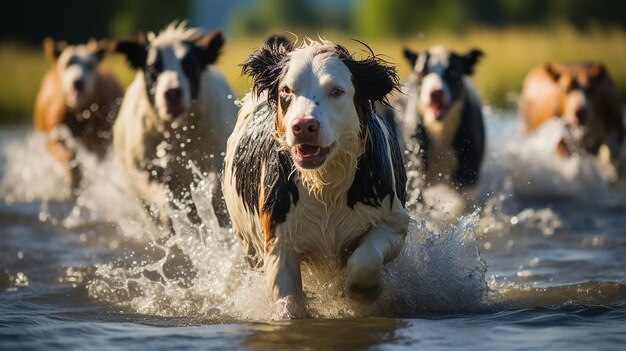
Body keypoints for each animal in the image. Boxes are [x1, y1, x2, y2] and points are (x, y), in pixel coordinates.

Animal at [33, 38, 122, 198]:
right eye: (68, 63)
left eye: (90, 65)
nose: (78, 81)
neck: (80, 111)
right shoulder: (55, 133)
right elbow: (67, 155)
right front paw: (75, 179)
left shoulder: (101, 139)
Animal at [112, 22, 236, 231]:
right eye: (153, 68)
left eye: (190, 65)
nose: (172, 92)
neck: (177, 133)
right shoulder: (144, 171)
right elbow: (163, 199)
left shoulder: (217, 154)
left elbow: (217, 188)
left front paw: (223, 216)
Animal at [222, 36, 408, 320]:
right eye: (287, 91)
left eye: (336, 91)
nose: (303, 126)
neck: (325, 185)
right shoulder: (278, 242)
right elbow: (288, 300)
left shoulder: (393, 222)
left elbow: (364, 261)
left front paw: (361, 293)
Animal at [382, 45, 486, 191]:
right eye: (421, 73)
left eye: (454, 72)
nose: (435, 93)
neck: (440, 132)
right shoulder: (415, 167)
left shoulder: (468, 174)